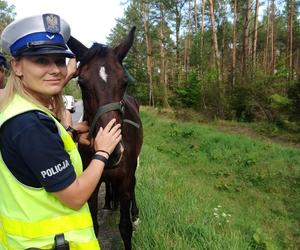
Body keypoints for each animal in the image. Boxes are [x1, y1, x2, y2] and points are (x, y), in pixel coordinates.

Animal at [68, 26, 143, 249]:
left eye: (124, 82)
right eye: (82, 83)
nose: (112, 152)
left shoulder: (125, 180)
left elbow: (125, 228)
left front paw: (130, 216)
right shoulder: (90, 185)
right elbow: (94, 228)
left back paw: (134, 213)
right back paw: (110, 201)